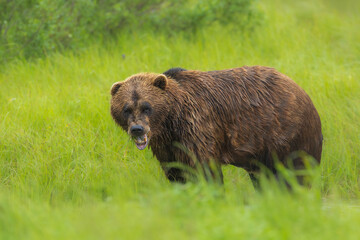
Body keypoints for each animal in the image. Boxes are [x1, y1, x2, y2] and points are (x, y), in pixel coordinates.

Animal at [110, 66, 324, 188]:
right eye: (126, 109)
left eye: (147, 107)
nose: (137, 129)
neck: (170, 121)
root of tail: (301, 91)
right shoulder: (167, 146)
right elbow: (176, 171)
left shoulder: (198, 127)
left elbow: (204, 169)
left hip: (285, 132)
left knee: (296, 170)